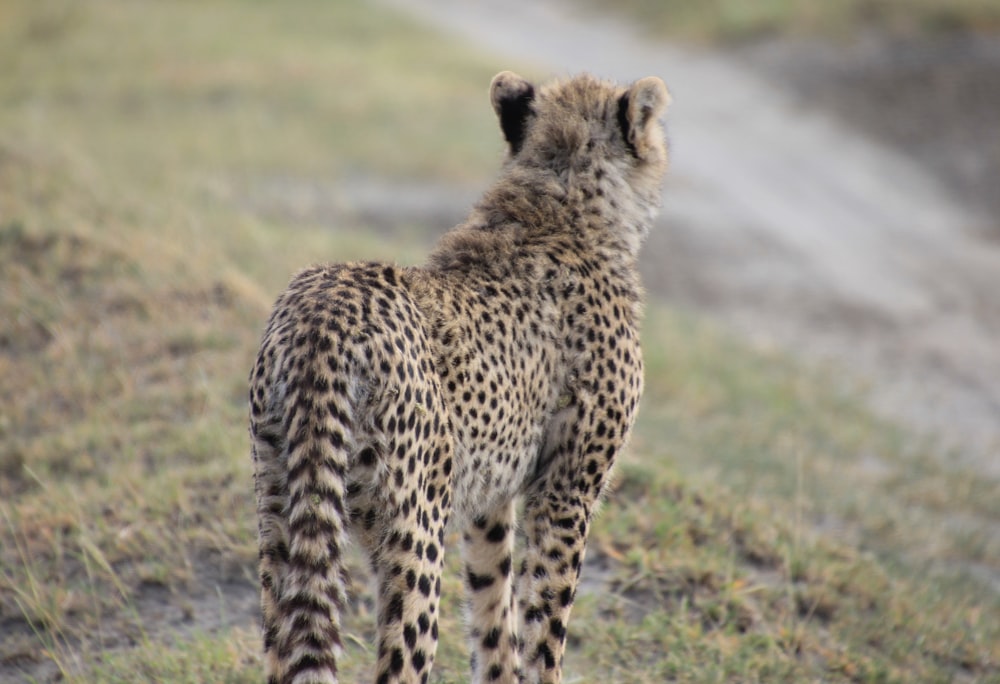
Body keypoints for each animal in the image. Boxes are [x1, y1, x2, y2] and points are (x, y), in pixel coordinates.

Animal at [250, 71, 672, 684]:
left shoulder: (490, 503)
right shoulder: (565, 493)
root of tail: (325, 302)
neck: (563, 203)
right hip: (417, 531)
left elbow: (496, 619)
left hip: (280, 506)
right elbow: (545, 629)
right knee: (403, 659)